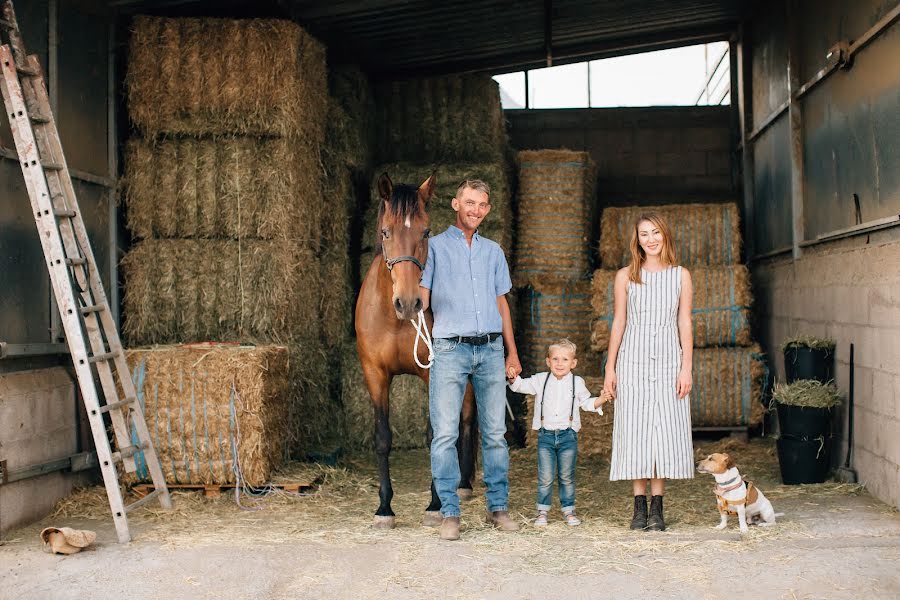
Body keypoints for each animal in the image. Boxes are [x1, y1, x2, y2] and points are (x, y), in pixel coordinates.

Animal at [356, 171, 478, 528]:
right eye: (386, 231)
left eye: (425, 231)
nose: (409, 302)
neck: (395, 320)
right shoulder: (375, 374)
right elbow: (383, 438)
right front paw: (384, 507)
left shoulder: (433, 372)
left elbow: (436, 434)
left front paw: (436, 503)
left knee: (468, 418)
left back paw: (463, 484)